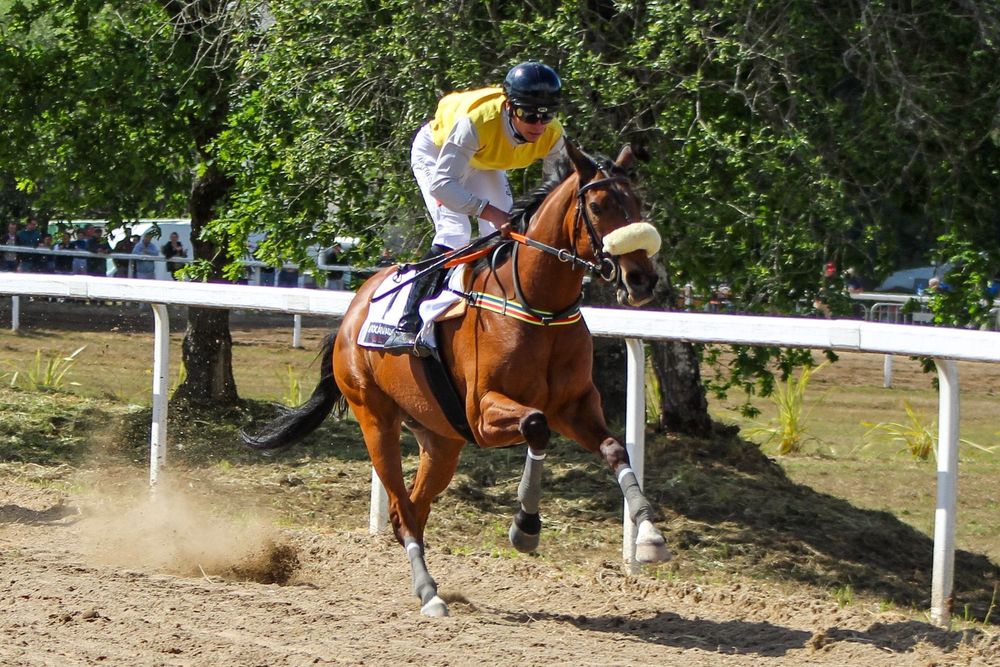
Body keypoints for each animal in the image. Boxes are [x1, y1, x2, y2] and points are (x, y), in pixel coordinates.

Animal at [242, 140, 671, 617]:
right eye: (597, 206)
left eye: (637, 203)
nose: (642, 279)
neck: (537, 305)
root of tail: (353, 311)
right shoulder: (482, 414)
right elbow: (536, 425)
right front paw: (525, 527)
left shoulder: (574, 405)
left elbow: (613, 447)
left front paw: (649, 535)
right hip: (376, 419)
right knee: (401, 507)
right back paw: (429, 594)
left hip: (441, 439)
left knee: (411, 509)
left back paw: (428, 585)